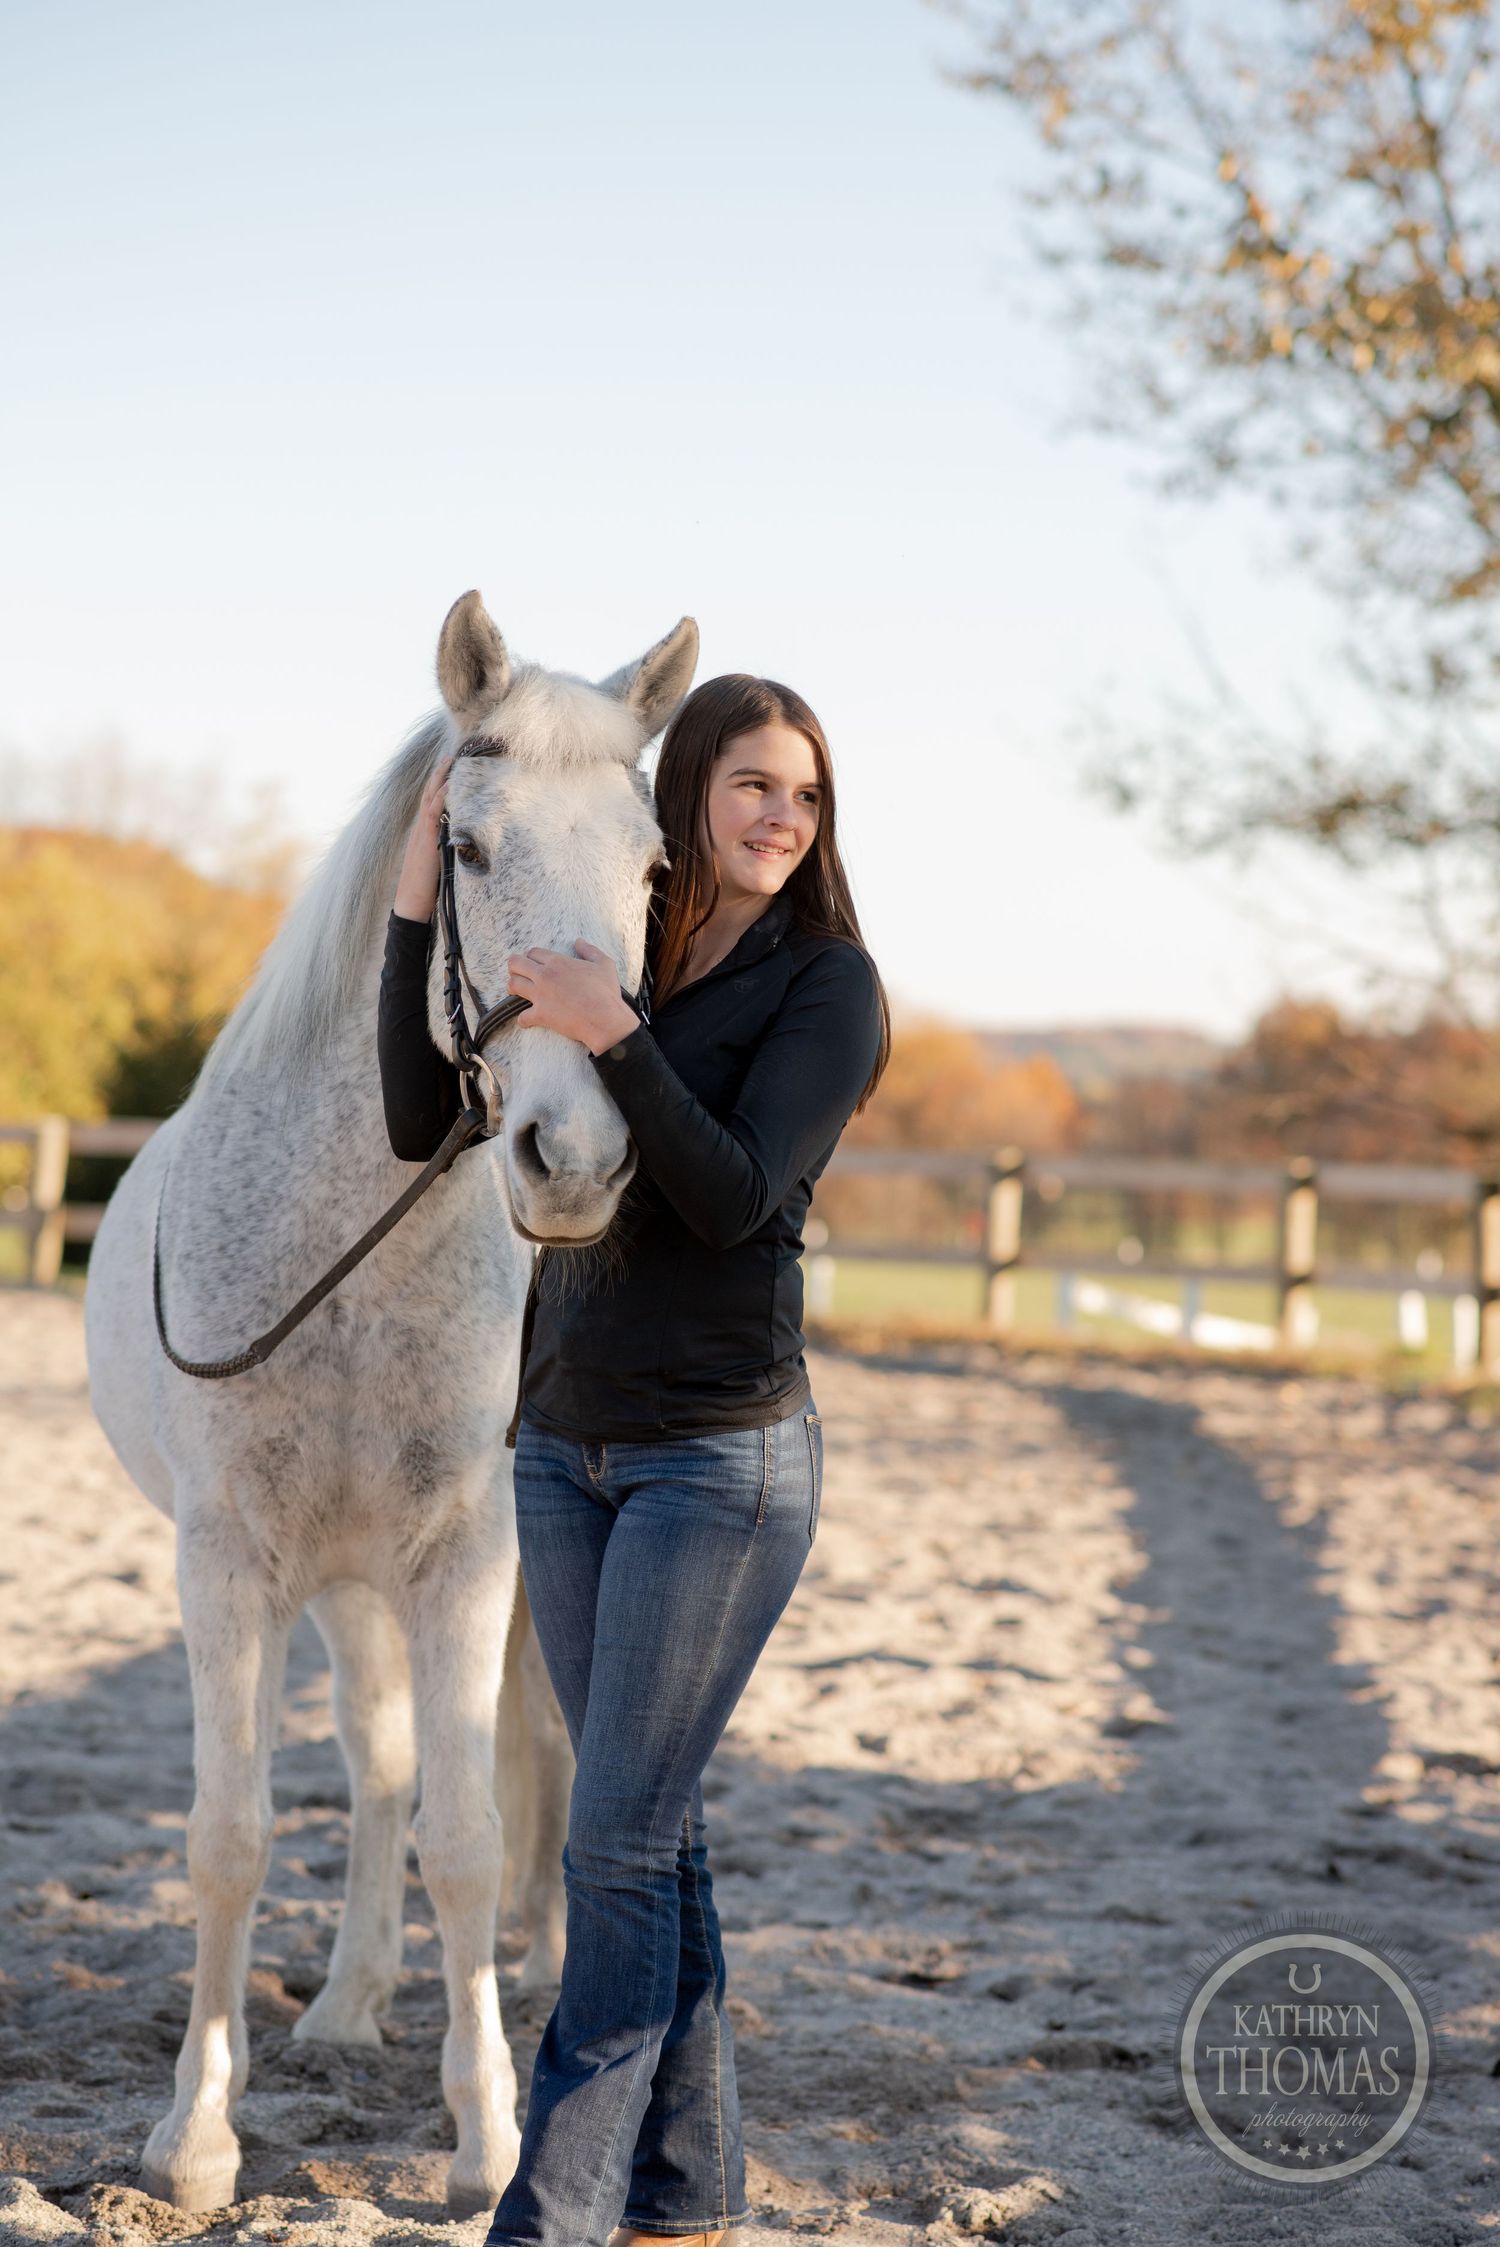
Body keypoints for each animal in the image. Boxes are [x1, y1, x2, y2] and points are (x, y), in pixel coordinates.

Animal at [83, 591, 699, 2216]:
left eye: (652, 865)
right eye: (469, 848)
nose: (578, 1158)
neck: (350, 1237)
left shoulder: (467, 1557)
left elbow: (470, 1836)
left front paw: (488, 2135)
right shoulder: (229, 1564)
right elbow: (232, 1836)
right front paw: (197, 2133)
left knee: (512, 1757)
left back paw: (532, 1969)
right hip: (341, 1586)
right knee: (370, 1763)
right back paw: (347, 2003)